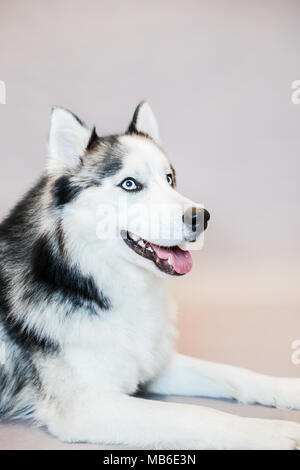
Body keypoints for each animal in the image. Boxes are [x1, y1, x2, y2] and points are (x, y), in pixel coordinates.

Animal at [0, 103, 300, 448]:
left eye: (169, 179)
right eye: (130, 184)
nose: (201, 217)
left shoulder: (155, 364)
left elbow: (234, 373)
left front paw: (288, 389)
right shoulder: (88, 406)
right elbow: (195, 414)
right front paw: (269, 431)